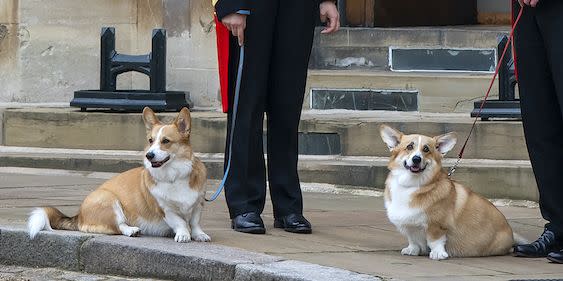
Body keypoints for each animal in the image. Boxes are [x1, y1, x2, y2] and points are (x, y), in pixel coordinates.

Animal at [27, 106, 210, 242]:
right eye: (150, 141)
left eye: (166, 141)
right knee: (118, 226)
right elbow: (180, 222)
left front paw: (199, 235)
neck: (174, 176)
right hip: (110, 201)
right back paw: (131, 230)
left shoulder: (198, 205)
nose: (149, 155)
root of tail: (79, 216)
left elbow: (194, 222)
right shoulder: (165, 209)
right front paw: (183, 235)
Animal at [376, 126, 524, 260]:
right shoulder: (409, 226)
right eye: (409, 147)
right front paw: (412, 250)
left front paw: (438, 254)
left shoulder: (437, 225)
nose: (416, 159)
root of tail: (511, 235)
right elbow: (413, 240)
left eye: (426, 149)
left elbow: (435, 241)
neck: (412, 185)